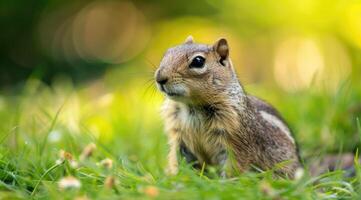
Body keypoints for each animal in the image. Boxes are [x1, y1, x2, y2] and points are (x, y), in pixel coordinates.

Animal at [153, 36, 300, 178]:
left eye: (198, 61)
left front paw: (225, 182)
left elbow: (233, 167)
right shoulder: (179, 139)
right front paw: (177, 179)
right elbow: (179, 162)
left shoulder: (235, 142)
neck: (192, 106)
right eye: (167, 53)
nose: (159, 78)